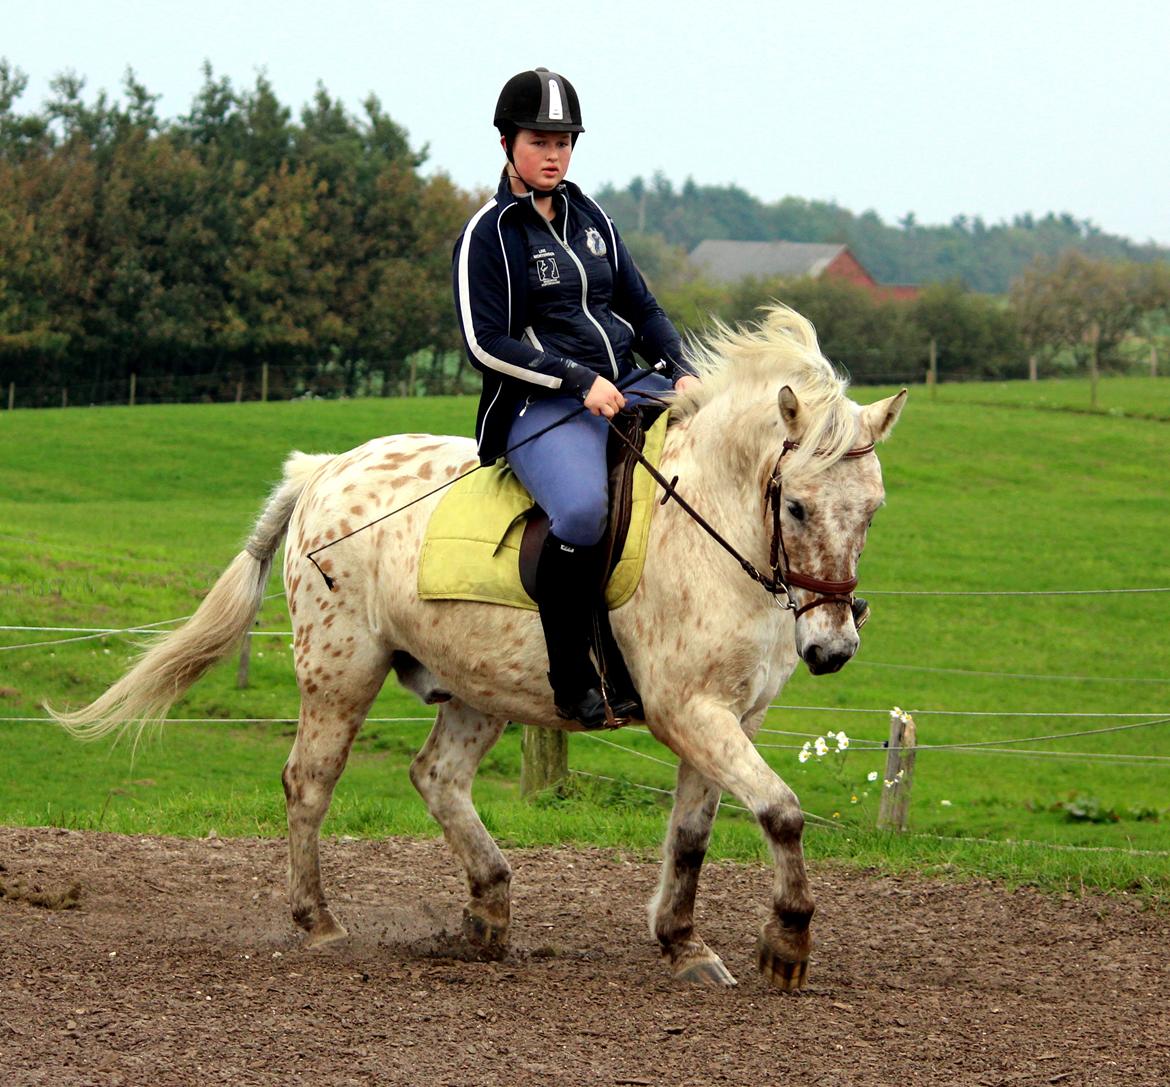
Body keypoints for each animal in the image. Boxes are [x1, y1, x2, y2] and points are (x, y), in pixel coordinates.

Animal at [54, 306, 907, 992]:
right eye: (796, 506)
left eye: (873, 509)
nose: (833, 646)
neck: (709, 522)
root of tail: (326, 469)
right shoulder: (689, 710)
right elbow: (783, 812)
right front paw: (786, 943)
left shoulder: (731, 716)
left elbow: (696, 834)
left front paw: (683, 942)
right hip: (339, 673)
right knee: (309, 783)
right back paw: (319, 921)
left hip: (480, 685)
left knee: (436, 775)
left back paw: (489, 905)